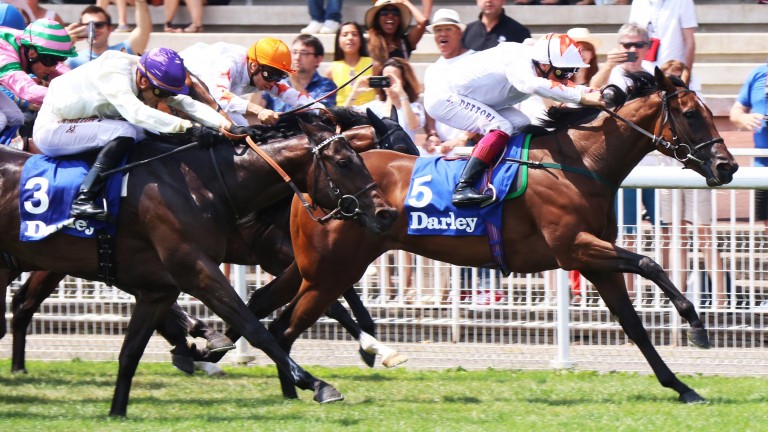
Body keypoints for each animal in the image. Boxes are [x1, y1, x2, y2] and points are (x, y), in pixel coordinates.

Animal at [0, 118, 396, 416]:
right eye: (344, 162)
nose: (386, 213)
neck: (203, 183)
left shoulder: (160, 287)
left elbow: (131, 351)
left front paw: (118, 410)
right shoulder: (200, 268)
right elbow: (258, 325)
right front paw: (320, 382)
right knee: (22, 304)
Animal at [274, 69, 736, 404]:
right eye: (691, 114)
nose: (727, 166)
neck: (579, 162)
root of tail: (309, 182)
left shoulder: (593, 261)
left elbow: (634, 324)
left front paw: (682, 387)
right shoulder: (575, 249)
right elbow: (649, 262)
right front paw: (696, 325)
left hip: (316, 270)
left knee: (278, 323)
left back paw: (296, 388)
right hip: (329, 272)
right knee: (284, 328)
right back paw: (310, 388)